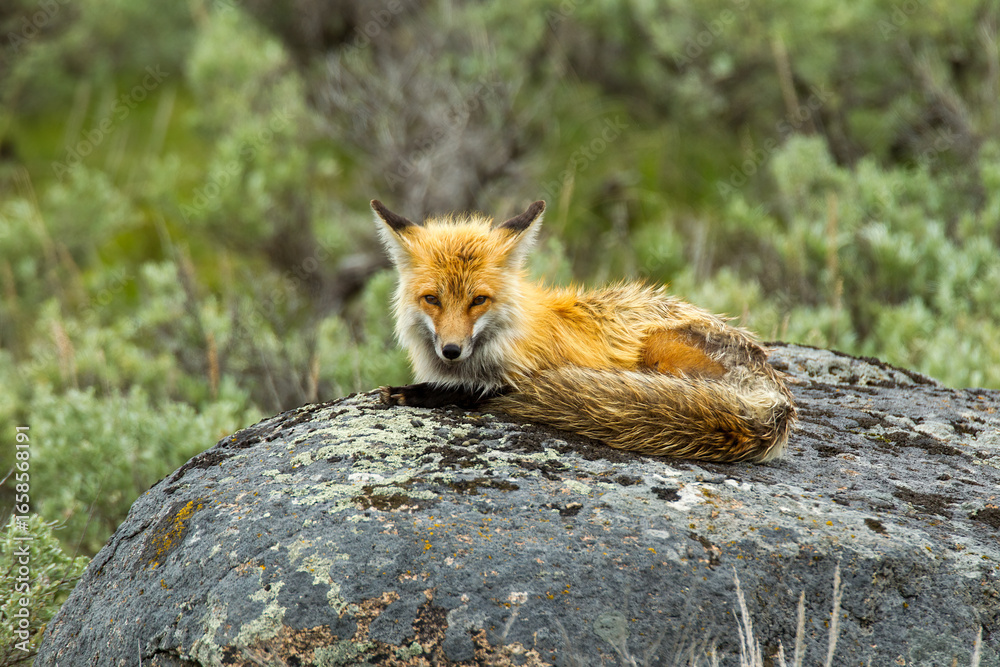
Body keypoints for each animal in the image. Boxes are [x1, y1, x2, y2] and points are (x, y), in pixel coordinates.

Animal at [372, 198, 796, 463]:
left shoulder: (513, 377)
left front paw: (417, 393)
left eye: (478, 300)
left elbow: (469, 392)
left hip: (658, 349)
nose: (451, 350)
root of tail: (777, 393)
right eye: (432, 299)